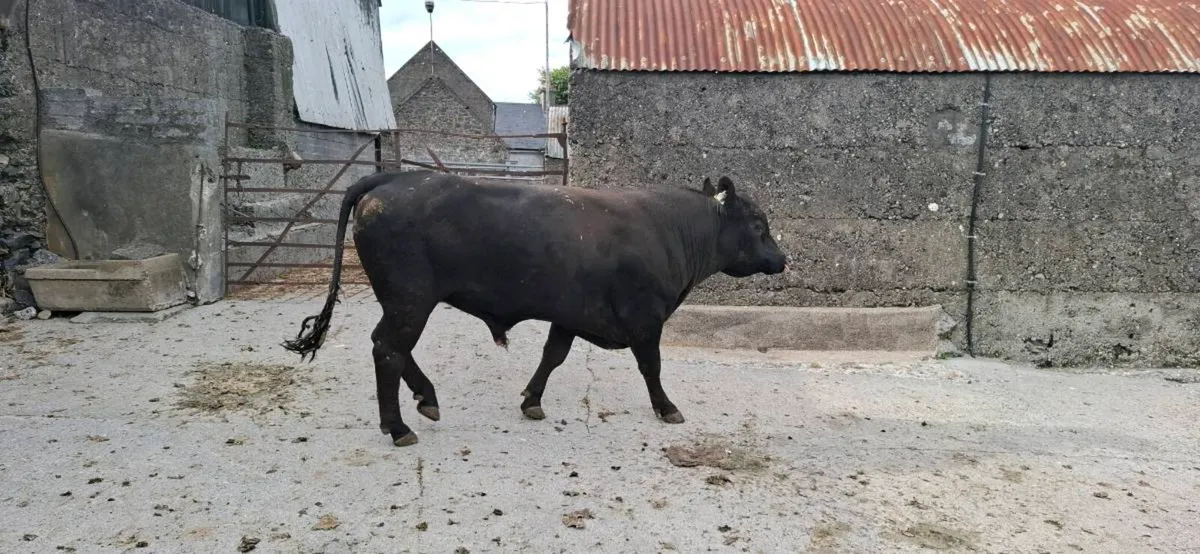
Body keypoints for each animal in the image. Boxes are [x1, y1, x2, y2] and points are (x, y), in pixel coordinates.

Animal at [282, 169, 787, 447]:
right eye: (757, 223)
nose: (782, 259)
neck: (668, 229)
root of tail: (393, 176)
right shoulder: (645, 318)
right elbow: (652, 367)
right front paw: (666, 408)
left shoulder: (570, 314)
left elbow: (553, 356)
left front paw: (531, 400)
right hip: (411, 300)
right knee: (387, 350)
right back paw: (399, 425)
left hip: (403, 302)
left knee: (388, 346)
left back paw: (427, 398)